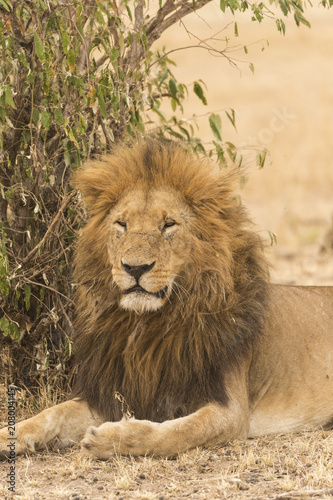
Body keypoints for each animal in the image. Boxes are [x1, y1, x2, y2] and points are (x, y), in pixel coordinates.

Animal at [0, 139, 332, 458]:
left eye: (168, 224)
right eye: (121, 224)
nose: (135, 268)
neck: (148, 327)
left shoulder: (231, 411)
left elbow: (176, 433)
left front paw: (111, 439)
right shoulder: (115, 392)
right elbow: (51, 413)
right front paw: (9, 435)